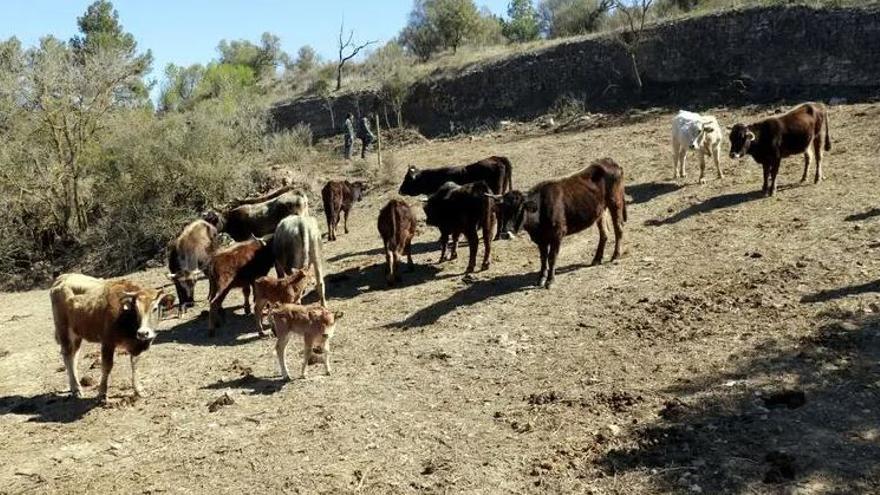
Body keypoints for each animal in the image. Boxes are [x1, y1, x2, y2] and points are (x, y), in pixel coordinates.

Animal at [49, 274, 164, 402]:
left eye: (155, 308)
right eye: (136, 310)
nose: (143, 333)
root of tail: (63, 277)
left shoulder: (136, 346)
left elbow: (135, 365)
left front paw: (139, 390)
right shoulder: (107, 342)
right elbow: (107, 366)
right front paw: (102, 394)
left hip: (77, 335)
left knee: (73, 357)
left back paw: (74, 386)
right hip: (63, 330)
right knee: (67, 355)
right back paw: (77, 389)